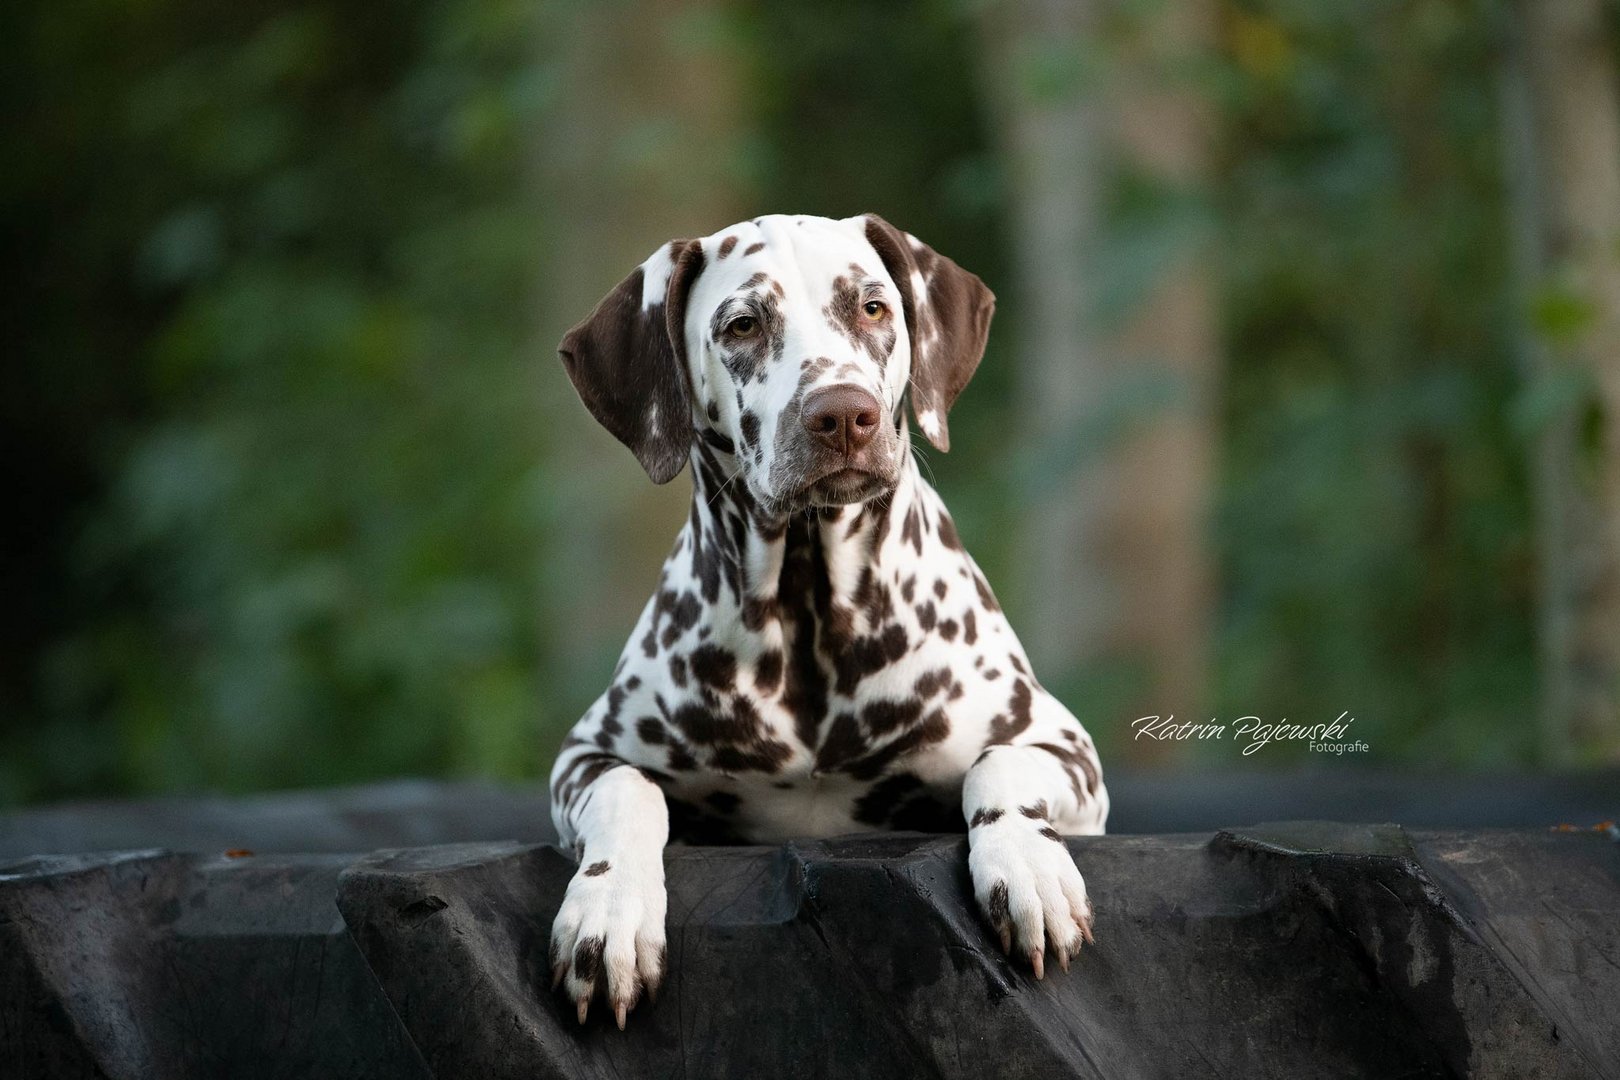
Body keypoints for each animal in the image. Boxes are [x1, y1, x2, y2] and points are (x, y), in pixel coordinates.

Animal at [550, 213, 1108, 1029]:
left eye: (872, 307)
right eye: (743, 325)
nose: (843, 414)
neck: (808, 616)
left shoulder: (1065, 748)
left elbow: (1000, 763)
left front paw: (1029, 865)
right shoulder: (586, 756)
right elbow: (630, 793)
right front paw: (608, 910)